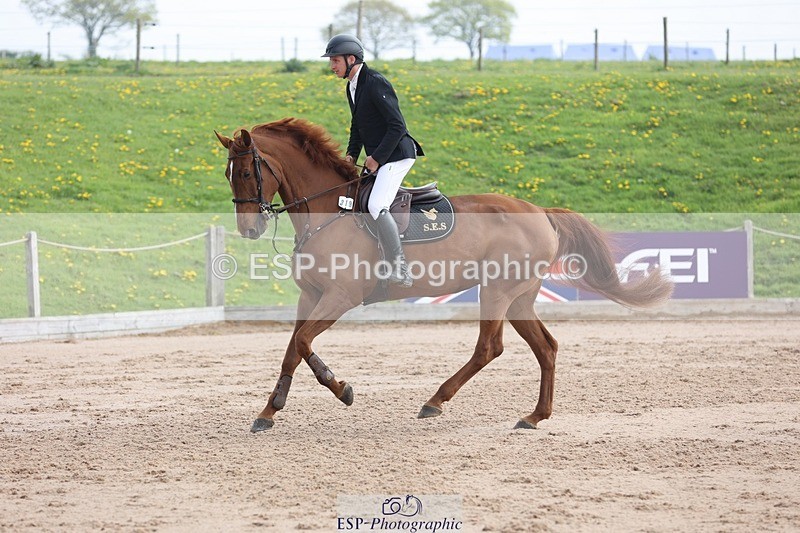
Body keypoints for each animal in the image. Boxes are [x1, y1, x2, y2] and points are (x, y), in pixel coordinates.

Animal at [215, 117, 673, 433]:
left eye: (248, 172)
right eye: (228, 174)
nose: (249, 230)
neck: (329, 209)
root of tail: (540, 211)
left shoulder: (340, 297)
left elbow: (304, 342)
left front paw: (341, 388)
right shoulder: (309, 295)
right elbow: (293, 348)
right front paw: (268, 411)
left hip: (497, 290)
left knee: (490, 347)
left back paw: (435, 400)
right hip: (520, 297)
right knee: (546, 347)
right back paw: (534, 416)